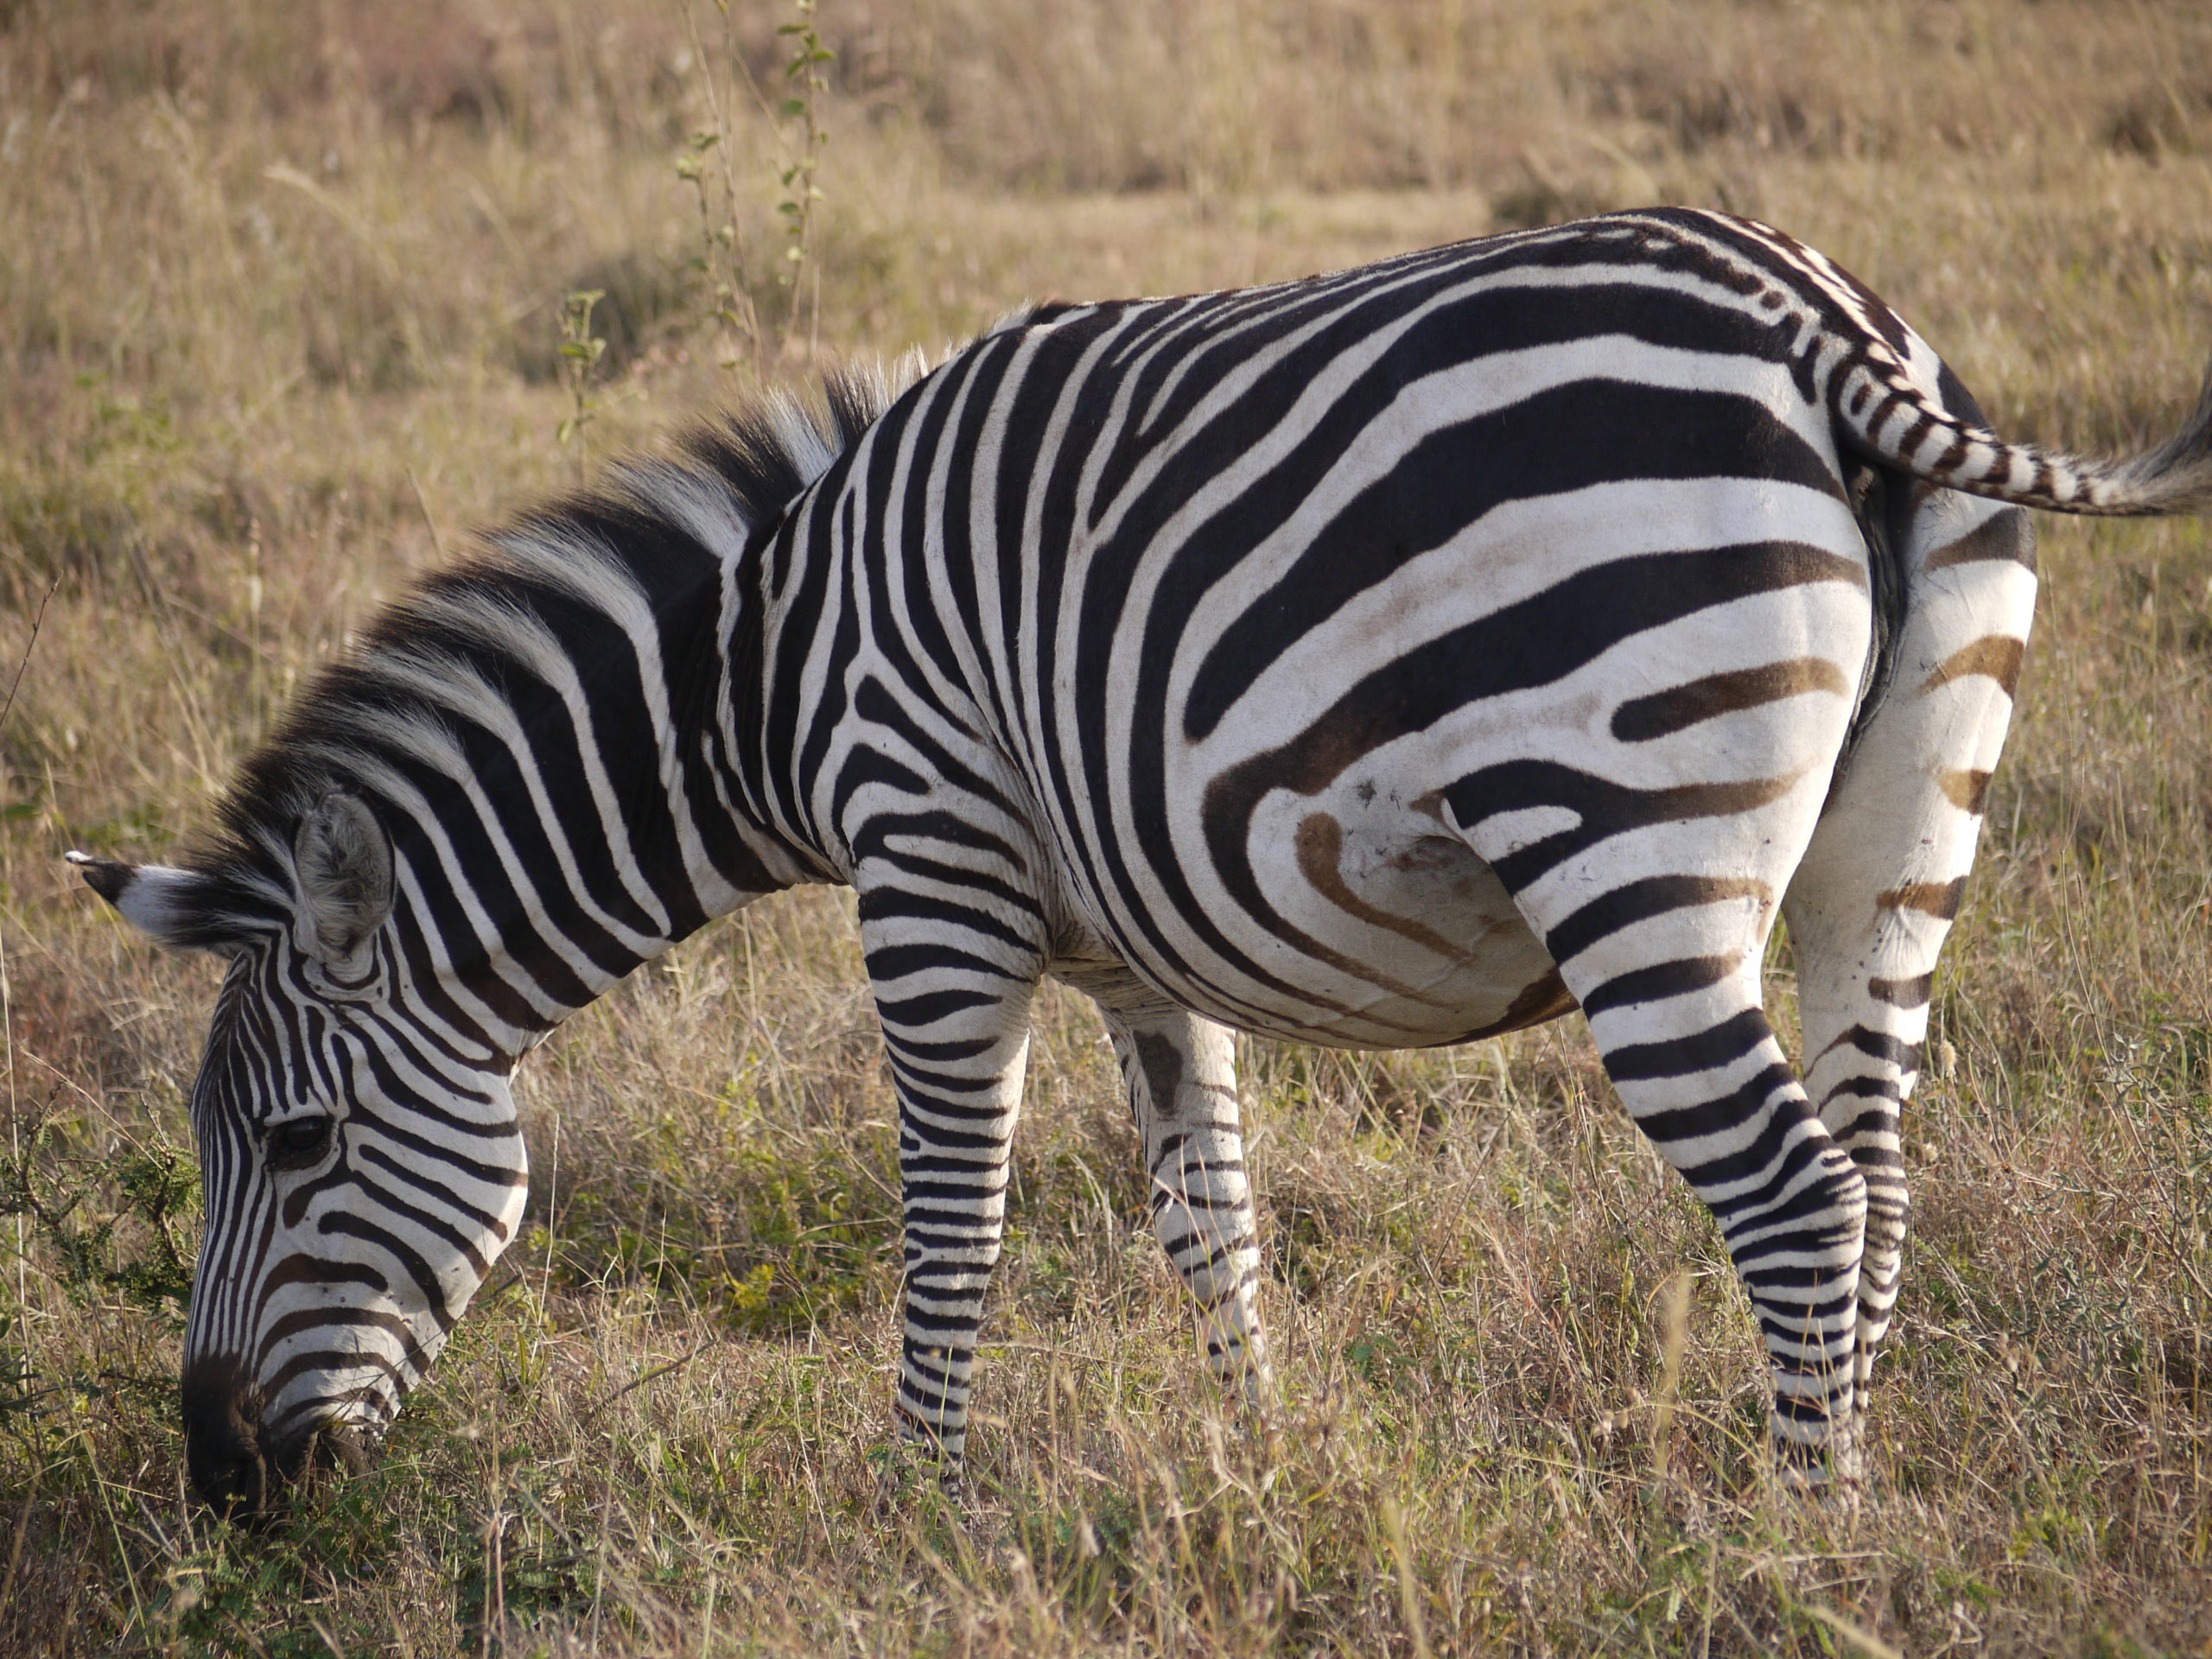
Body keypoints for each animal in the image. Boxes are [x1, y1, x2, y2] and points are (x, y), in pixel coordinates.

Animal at [69, 211, 2212, 1522]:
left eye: (294, 1149)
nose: (217, 1483)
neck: (768, 674)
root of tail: (1816, 328)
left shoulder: (928, 864)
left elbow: (950, 1213)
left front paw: (918, 1506)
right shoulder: (1126, 941)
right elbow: (1211, 1213)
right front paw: (1255, 1466)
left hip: (1627, 842)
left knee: (1790, 1199)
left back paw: (1785, 1540)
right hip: (1900, 834)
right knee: (1878, 1175)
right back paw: (1850, 1513)